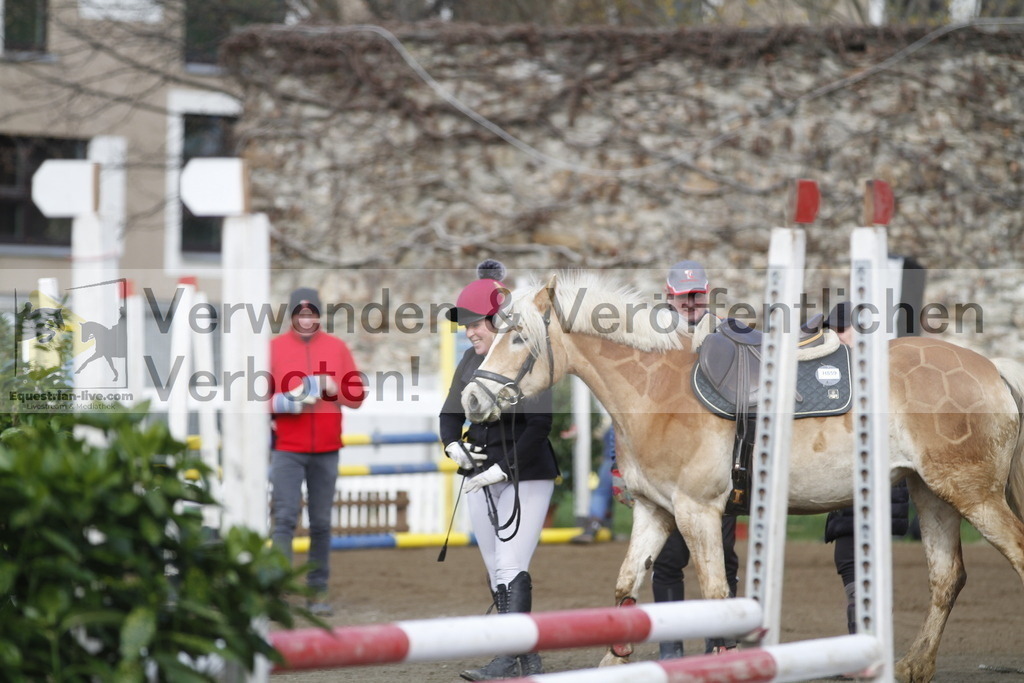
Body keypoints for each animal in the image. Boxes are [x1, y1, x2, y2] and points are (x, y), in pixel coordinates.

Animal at [462, 274, 1024, 683]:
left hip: (974, 496)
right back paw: (914, 665)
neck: (657, 390)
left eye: (519, 336)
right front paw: (612, 663)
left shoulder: (697, 512)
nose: (470, 398)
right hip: (934, 496)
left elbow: (715, 597)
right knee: (946, 577)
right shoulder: (655, 512)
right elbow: (625, 587)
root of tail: (992, 368)